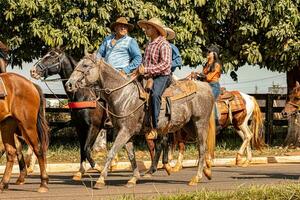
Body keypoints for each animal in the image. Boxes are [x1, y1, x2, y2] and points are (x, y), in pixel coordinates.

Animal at [30, 48, 108, 180]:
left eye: (52, 57)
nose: (33, 71)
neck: (84, 94)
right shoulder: (80, 127)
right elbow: (82, 149)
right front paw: (80, 172)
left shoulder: (94, 127)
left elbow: (87, 148)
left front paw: (98, 167)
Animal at [65, 54, 216, 189]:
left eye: (85, 65)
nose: (69, 84)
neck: (124, 96)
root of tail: (206, 87)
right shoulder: (124, 133)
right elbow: (131, 155)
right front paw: (133, 178)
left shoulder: (120, 131)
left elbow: (110, 152)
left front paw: (100, 179)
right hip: (189, 126)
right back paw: (206, 172)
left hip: (200, 124)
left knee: (201, 148)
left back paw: (196, 178)